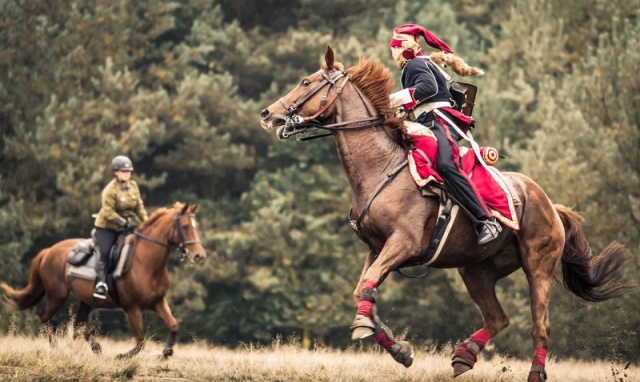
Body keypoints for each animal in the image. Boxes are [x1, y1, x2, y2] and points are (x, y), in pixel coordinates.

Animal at [0, 203, 205, 358]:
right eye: (185, 227)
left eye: (197, 226)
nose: (199, 256)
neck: (146, 263)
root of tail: (49, 250)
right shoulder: (132, 308)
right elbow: (140, 341)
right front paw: (122, 357)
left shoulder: (158, 302)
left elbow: (174, 325)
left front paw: (166, 352)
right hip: (58, 296)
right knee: (45, 317)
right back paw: (58, 349)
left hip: (87, 300)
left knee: (79, 324)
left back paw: (96, 348)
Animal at [262, 46, 636, 380]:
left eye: (307, 82)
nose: (268, 114)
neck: (381, 167)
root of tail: (551, 205)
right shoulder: (377, 249)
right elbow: (363, 292)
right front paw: (398, 349)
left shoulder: (403, 244)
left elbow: (367, 289)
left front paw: (382, 338)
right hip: (476, 271)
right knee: (498, 318)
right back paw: (464, 355)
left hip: (538, 268)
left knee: (540, 325)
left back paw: (532, 372)